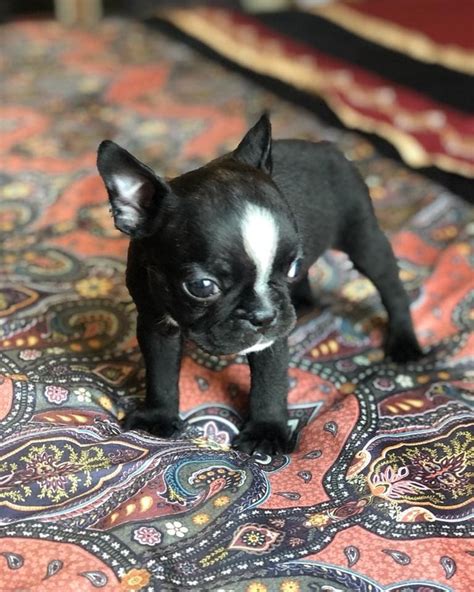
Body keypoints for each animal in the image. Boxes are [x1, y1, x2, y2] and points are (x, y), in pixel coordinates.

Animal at [96, 114, 422, 454]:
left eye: (291, 266)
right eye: (202, 287)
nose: (265, 315)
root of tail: (325, 147)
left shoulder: (270, 337)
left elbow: (270, 381)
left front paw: (267, 432)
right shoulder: (155, 322)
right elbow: (159, 372)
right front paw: (157, 416)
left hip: (363, 237)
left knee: (392, 287)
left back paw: (404, 342)